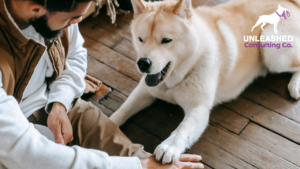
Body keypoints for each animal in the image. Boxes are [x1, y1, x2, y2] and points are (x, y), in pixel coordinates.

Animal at [109, 0, 300, 164]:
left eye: (166, 40)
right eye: (140, 39)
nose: (143, 63)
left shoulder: (199, 108)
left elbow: (183, 129)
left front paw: (169, 147)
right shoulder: (145, 90)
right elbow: (124, 109)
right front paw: (109, 123)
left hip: (269, 45)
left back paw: (294, 86)